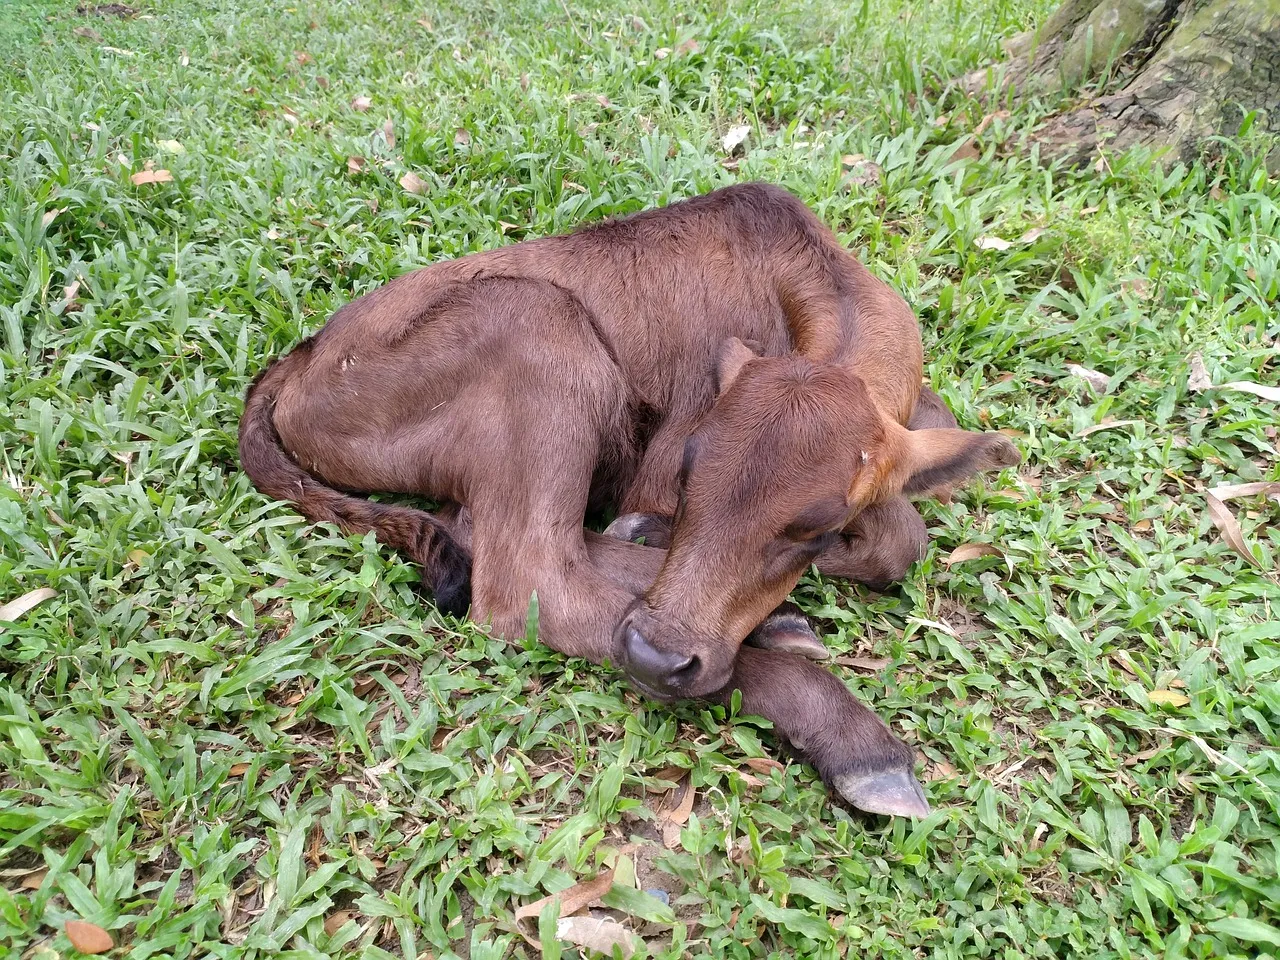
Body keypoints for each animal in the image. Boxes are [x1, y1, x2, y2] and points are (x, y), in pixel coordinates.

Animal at [239, 183, 1020, 816]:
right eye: (689, 470)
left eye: (817, 527)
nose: (652, 656)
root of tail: (304, 359)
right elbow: (901, 535)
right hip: (533, 321)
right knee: (529, 579)